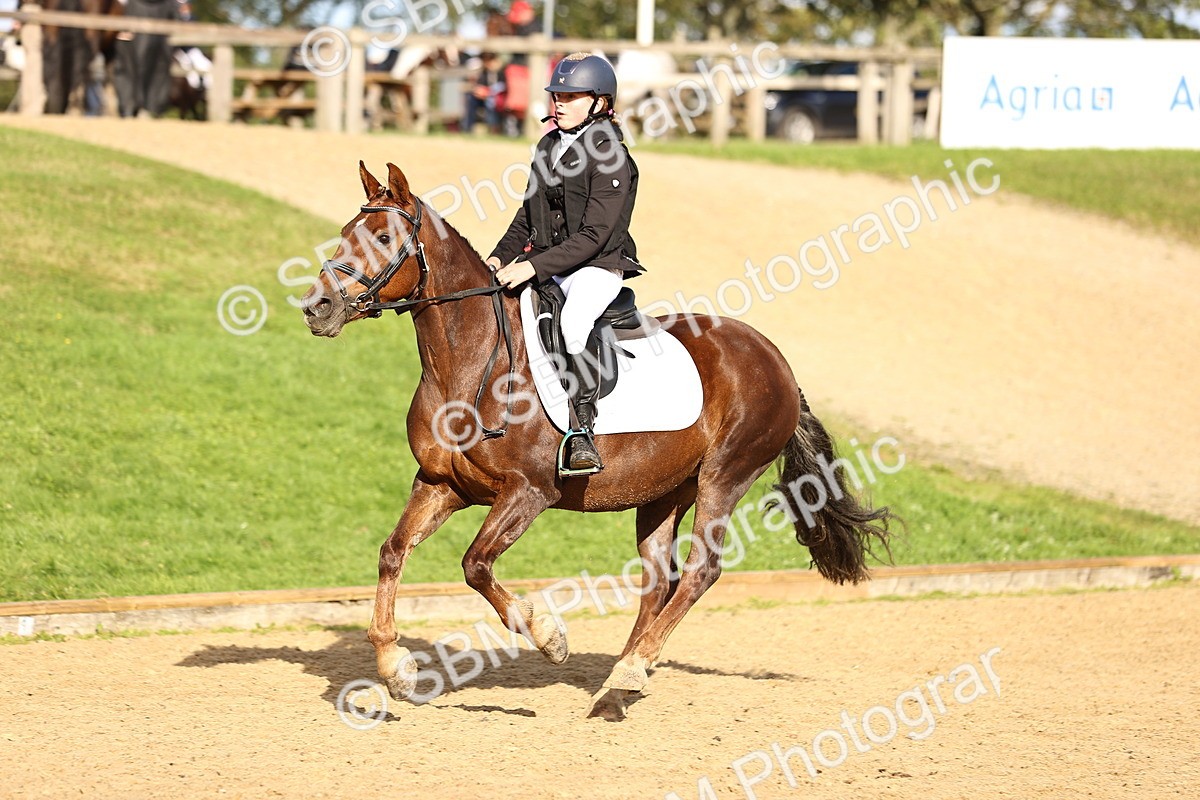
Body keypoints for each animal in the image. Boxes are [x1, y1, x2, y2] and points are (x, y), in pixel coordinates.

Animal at [301, 162, 894, 721]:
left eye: (382, 237)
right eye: (345, 232)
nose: (317, 307)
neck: (469, 364)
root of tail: (774, 358)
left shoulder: (528, 492)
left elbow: (475, 564)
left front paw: (547, 636)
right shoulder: (442, 484)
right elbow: (392, 553)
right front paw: (395, 668)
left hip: (724, 476)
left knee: (700, 571)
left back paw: (629, 672)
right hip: (663, 493)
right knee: (659, 579)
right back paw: (620, 687)